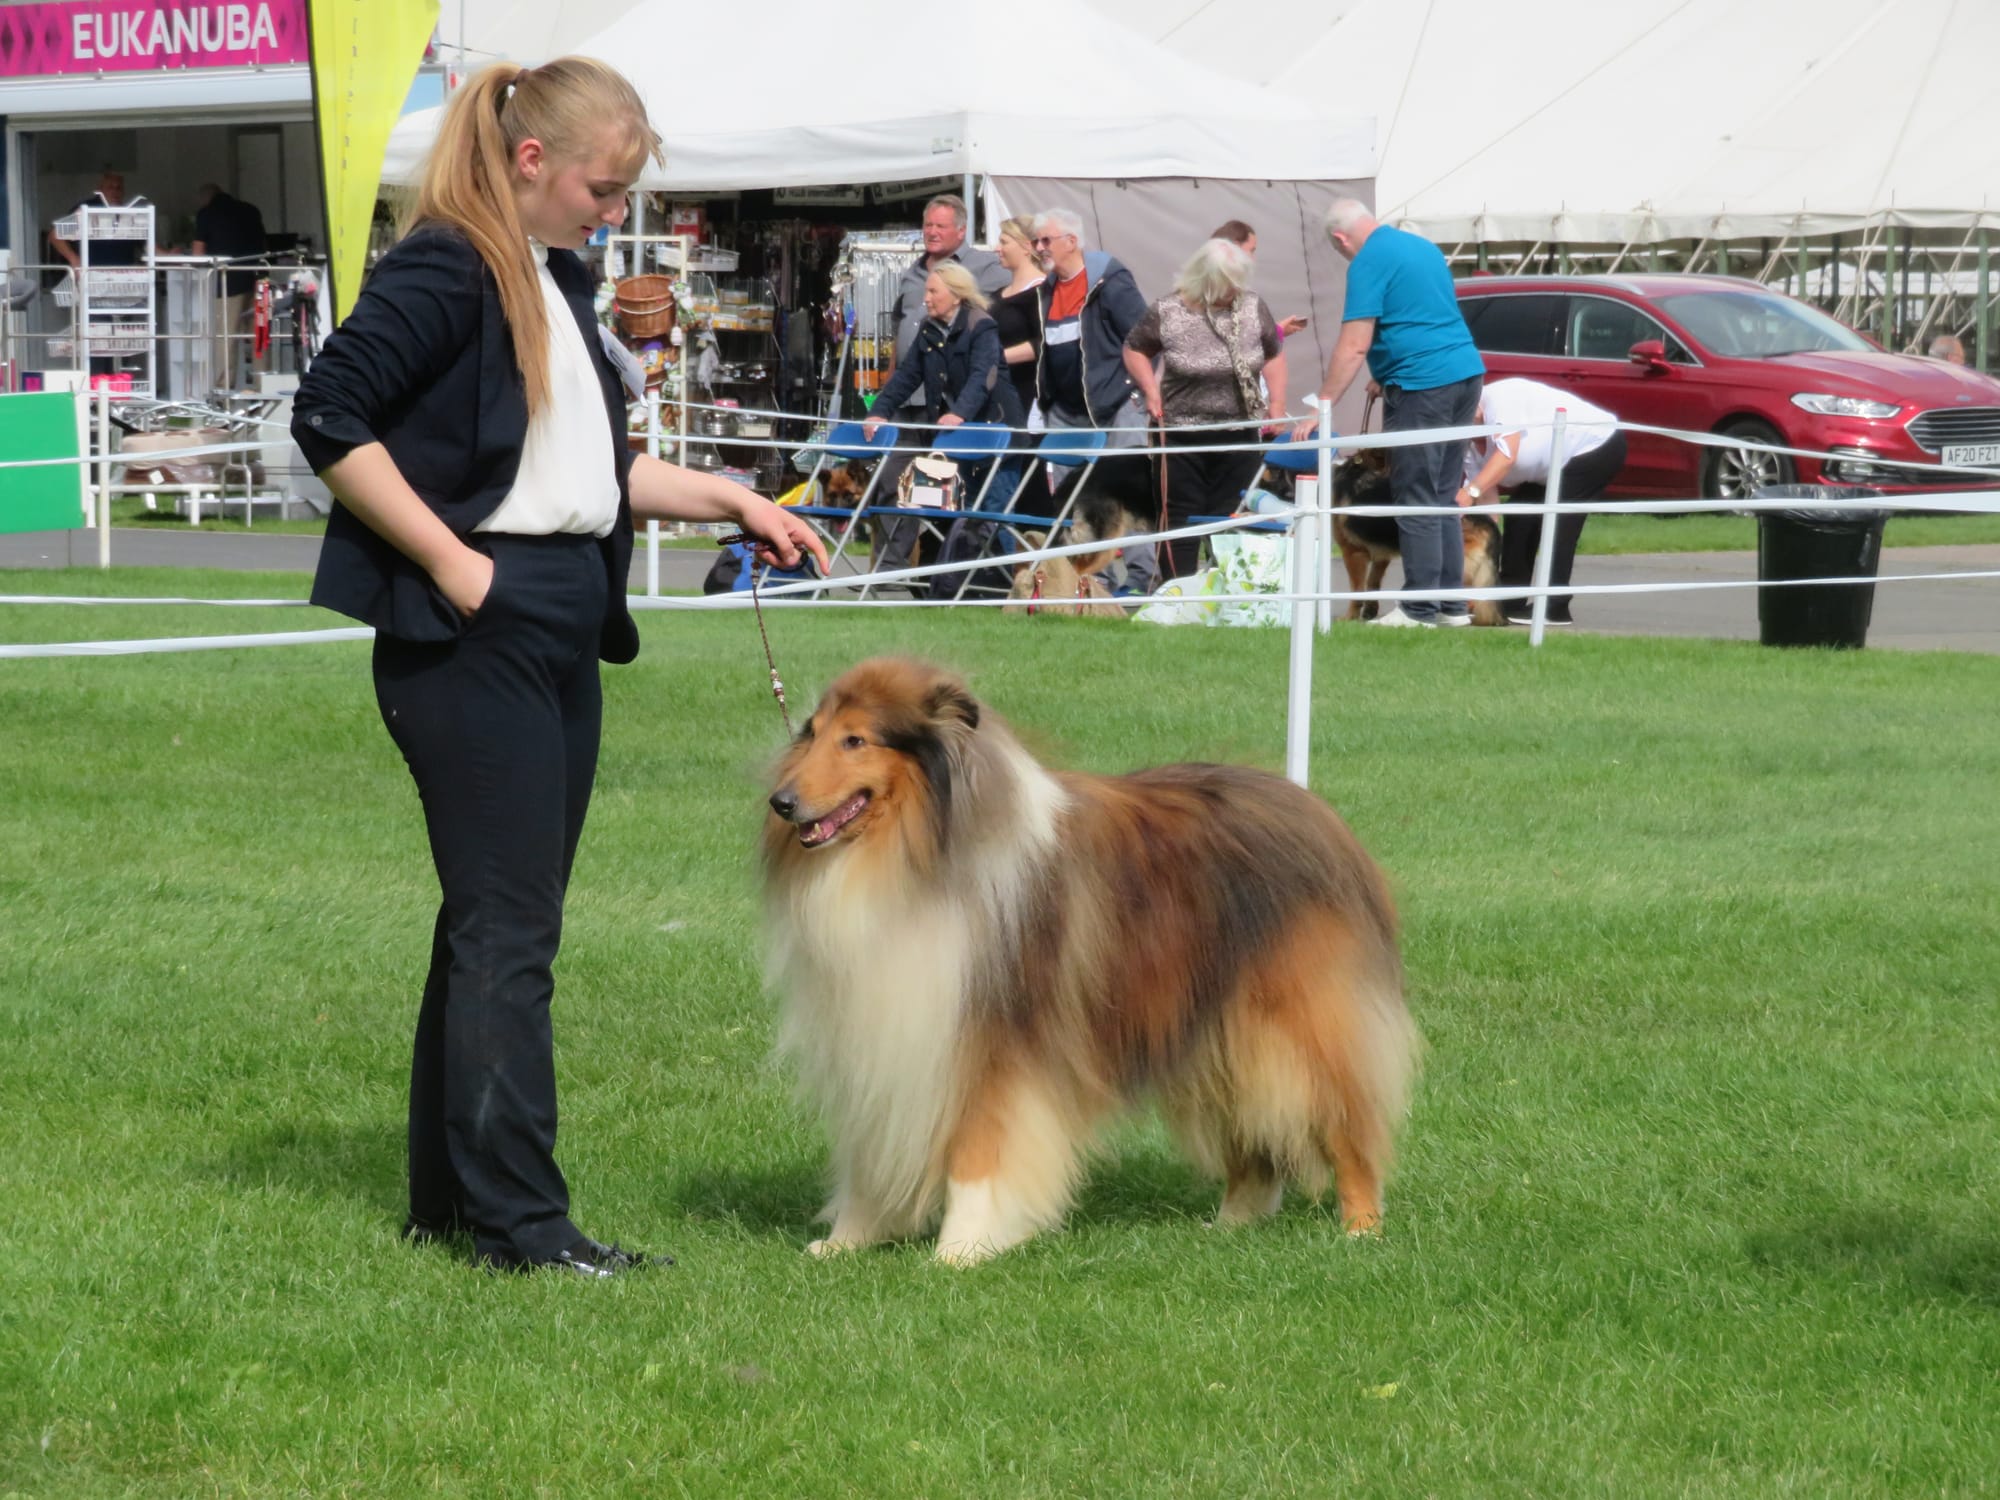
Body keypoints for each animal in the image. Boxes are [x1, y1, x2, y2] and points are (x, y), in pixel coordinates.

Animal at [756, 660, 1416, 1272]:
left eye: (856, 740)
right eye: (812, 733)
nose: (781, 802)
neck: (908, 860)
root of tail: (1316, 813)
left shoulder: (994, 1045)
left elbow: (978, 1154)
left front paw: (962, 1249)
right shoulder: (883, 1040)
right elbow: (870, 1155)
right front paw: (847, 1240)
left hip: (1295, 1028)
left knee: (1346, 1122)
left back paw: (1361, 1229)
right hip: (1216, 1038)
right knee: (1252, 1143)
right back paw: (1230, 1226)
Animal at [1336, 456, 1504, 624]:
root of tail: (1485, 520)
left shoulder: (1352, 552)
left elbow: (1356, 591)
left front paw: (1349, 617)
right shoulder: (1381, 555)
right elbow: (1373, 583)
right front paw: (1369, 610)